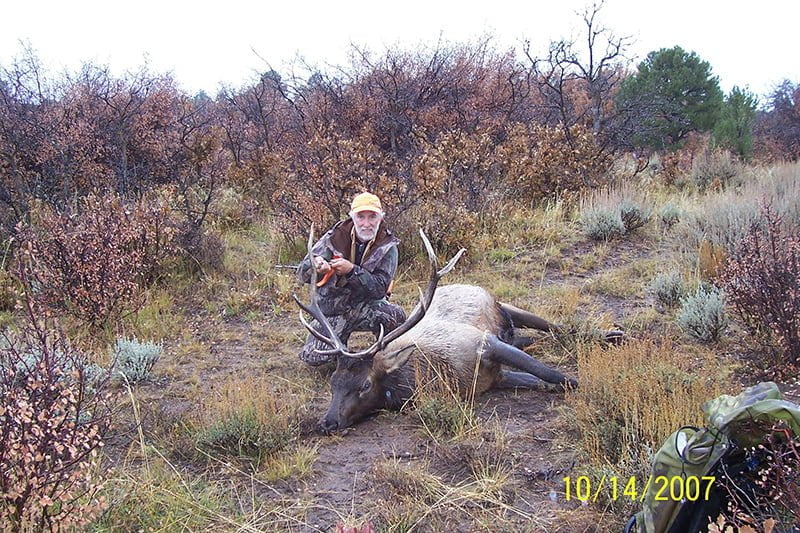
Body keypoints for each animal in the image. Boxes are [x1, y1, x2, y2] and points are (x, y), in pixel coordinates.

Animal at [295, 228, 593, 434]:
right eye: (334, 382)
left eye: (365, 384)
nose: (327, 423)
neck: (448, 377)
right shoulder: (495, 378)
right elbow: (541, 380)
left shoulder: (484, 342)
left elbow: (553, 374)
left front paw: (584, 384)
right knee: (527, 338)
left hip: (506, 306)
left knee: (554, 327)